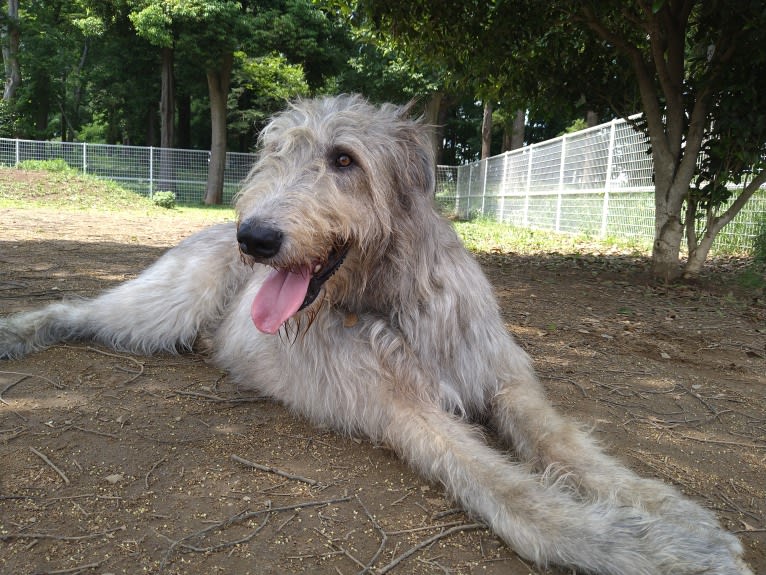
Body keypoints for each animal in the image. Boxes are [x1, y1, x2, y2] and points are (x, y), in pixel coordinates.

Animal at [0, 97, 756, 572]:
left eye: (344, 160)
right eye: (273, 155)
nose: (254, 238)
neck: (392, 300)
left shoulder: (501, 378)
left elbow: (565, 445)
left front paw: (670, 514)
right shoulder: (405, 410)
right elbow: (512, 488)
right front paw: (644, 548)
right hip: (164, 307)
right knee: (84, 306)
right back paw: (21, 330)